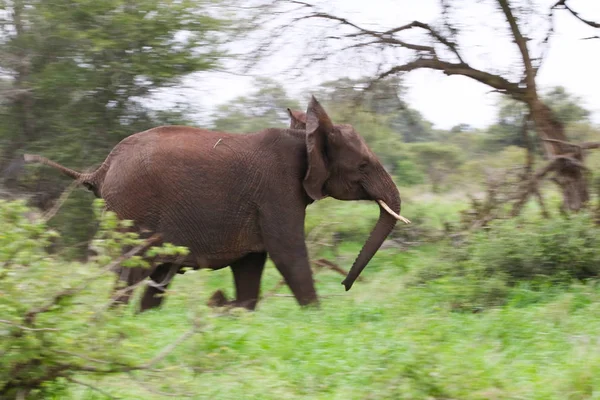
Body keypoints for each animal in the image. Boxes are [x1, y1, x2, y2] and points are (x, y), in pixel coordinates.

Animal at [23, 96, 408, 312]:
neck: (305, 136)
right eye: (363, 165)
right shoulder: (277, 190)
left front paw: (238, 311)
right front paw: (315, 316)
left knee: (157, 276)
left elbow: (252, 263)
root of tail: (103, 168)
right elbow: (288, 252)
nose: (345, 284)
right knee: (133, 270)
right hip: (133, 208)